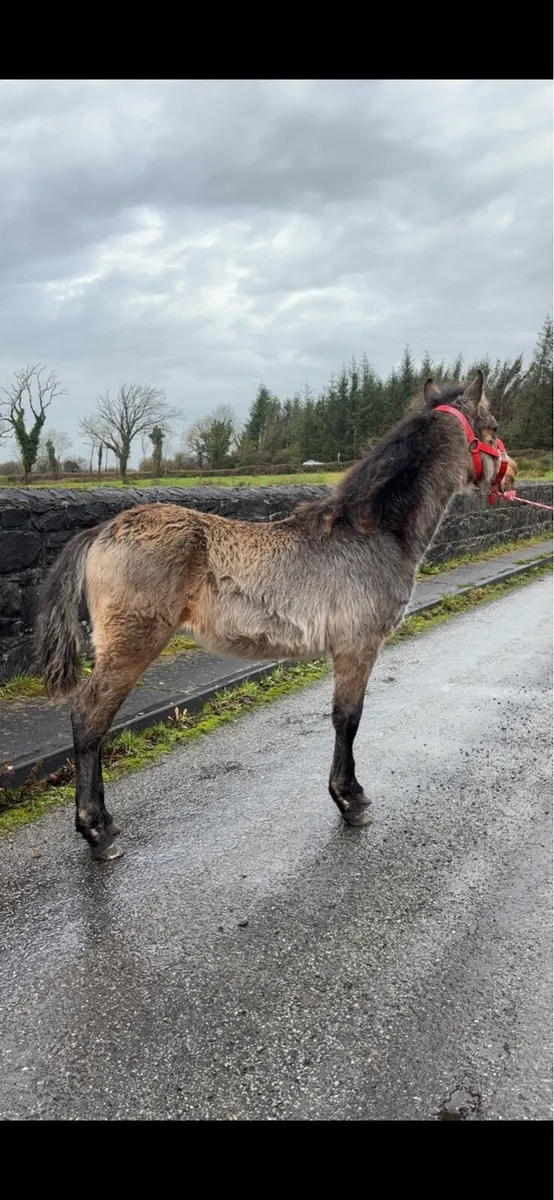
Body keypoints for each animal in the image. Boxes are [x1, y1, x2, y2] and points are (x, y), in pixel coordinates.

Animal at [36, 370, 517, 861]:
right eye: (494, 427)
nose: (511, 473)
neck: (372, 532)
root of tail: (102, 531)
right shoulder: (358, 646)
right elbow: (348, 717)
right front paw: (350, 799)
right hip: (130, 646)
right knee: (89, 720)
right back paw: (98, 831)